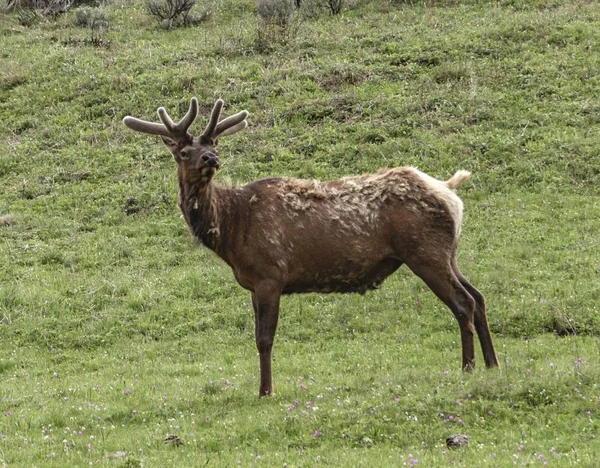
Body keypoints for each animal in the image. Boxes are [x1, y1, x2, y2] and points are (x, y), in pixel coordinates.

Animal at [122, 97, 496, 396]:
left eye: (214, 142)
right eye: (184, 151)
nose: (211, 158)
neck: (231, 230)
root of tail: (449, 190)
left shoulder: (270, 275)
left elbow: (264, 338)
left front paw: (266, 391)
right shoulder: (252, 283)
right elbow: (257, 336)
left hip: (425, 252)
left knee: (462, 302)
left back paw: (468, 368)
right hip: (448, 253)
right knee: (478, 296)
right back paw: (492, 363)